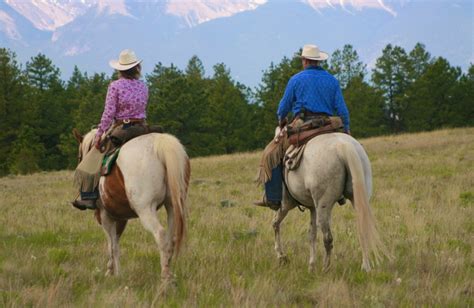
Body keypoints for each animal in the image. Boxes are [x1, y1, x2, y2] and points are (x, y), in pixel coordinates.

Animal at [72, 129, 191, 280]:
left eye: (79, 156)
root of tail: (159, 143)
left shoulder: (105, 216)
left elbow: (111, 245)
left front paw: (110, 272)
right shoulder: (121, 218)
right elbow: (116, 243)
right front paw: (117, 273)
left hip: (145, 210)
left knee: (160, 234)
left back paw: (165, 275)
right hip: (172, 206)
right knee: (171, 238)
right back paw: (169, 269)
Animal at [274, 131, 388, 272]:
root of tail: (342, 146)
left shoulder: (286, 204)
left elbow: (276, 223)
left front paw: (281, 256)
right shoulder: (313, 207)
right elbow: (312, 234)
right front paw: (311, 265)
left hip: (323, 206)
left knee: (328, 238)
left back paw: (325, 268)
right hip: (357, 199)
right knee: (362, 229)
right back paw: (365, 266)